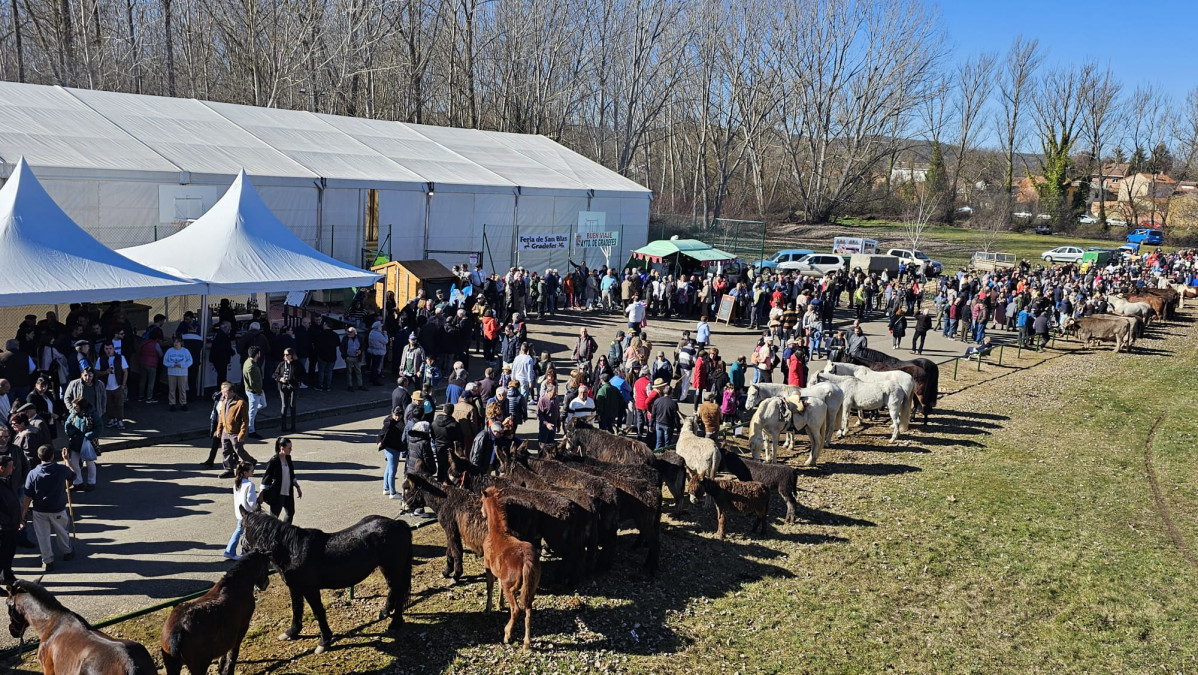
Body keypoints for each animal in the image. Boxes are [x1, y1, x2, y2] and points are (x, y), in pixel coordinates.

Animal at [240, 510, 414, 652]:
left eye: (242, 527)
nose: (243, 548)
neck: (293, 551)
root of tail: (398, 524)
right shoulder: (295, 588)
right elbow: (296, 609)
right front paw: (291, 632)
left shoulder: (310, 589)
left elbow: (318, 612)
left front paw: (324, 641)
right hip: (386, 568)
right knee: (393, 589)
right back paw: (384, 612)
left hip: (393, 568)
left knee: (398, 592)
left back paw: (395, 623)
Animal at [479, 486, 541, 647]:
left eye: (481, 501)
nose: (481, 512)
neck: (497, 533)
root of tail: (526, 561)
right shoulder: (500, 573)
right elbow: (499, 585)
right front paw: (499, 604)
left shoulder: (488, 567)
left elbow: (490, 587)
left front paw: (488, 609)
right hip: (531, 587)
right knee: (528, 609)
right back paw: (526, 642)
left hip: (511, 589)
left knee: (516, 609)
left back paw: (507, 634)